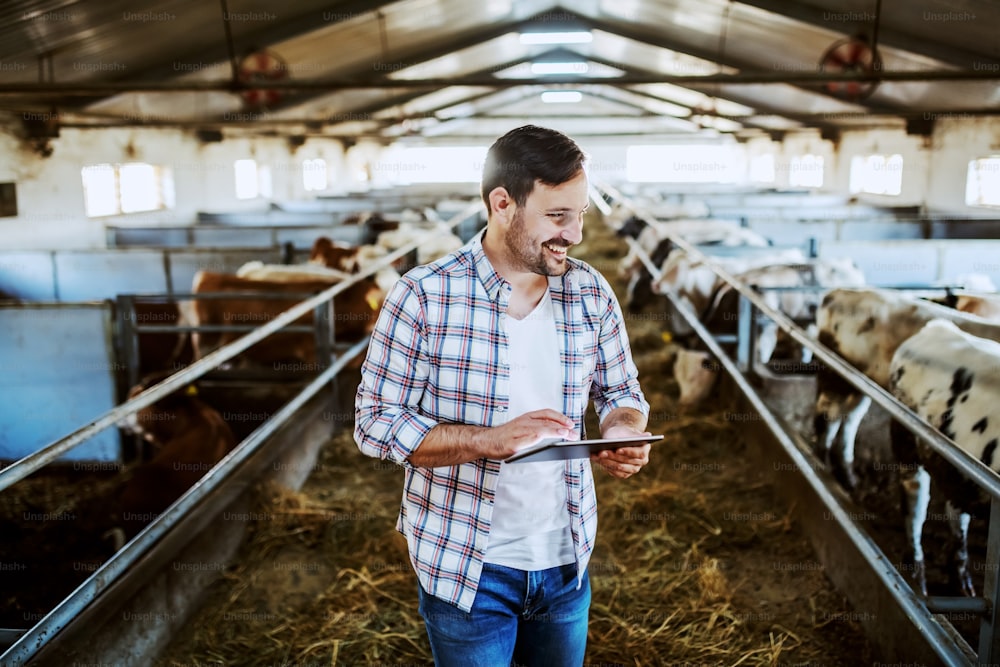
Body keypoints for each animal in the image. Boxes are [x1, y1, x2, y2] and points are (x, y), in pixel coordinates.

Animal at [816, 288, 1000, 490]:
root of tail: (840, 291)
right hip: (834, 378)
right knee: (828, 418)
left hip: (857, 384)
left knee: (849, 420)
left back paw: (848, 476)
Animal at [888, 320, 1000, 596]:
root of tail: (938, 326)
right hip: (906, 446)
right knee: (914, 507)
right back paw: (918, 582)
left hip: (959, 473)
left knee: (957, 515)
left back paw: (962, 584)